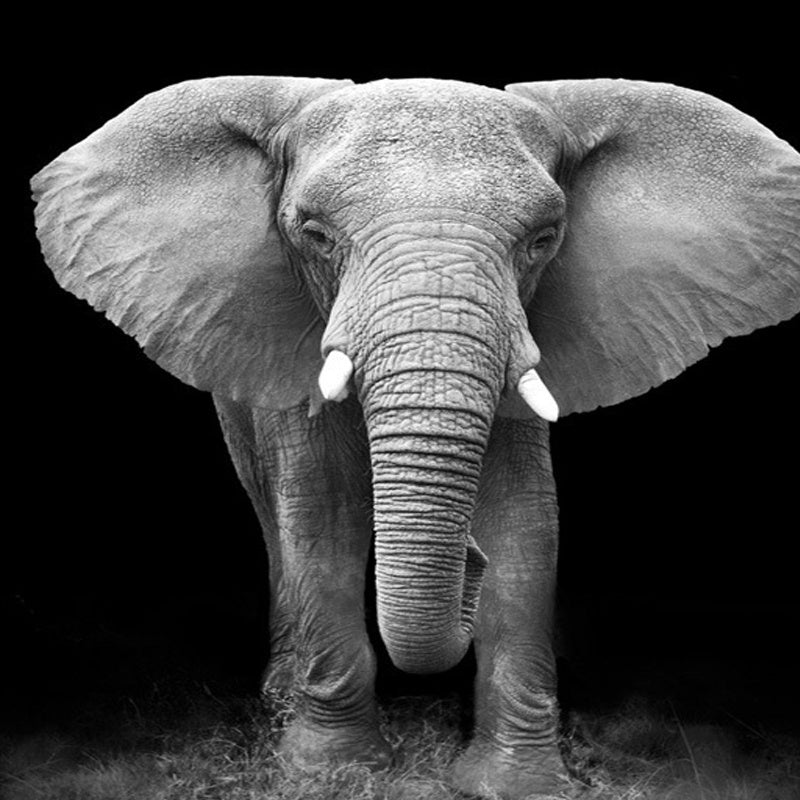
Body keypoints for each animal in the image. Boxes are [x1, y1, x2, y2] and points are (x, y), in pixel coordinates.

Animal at [31, 76, 799, 799]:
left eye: (543, 239)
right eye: (314, 235)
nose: (467, 563)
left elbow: (525, 520)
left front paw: (517, 783)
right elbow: (322, 514)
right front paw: (333, 773)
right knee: (272, 509)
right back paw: (280, 700)